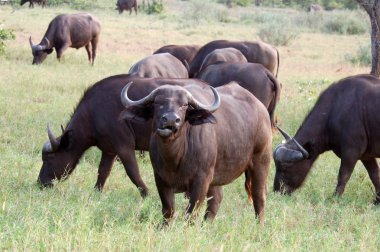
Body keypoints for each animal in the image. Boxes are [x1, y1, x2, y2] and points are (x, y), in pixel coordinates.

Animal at [37, 74, 171, 196]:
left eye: (50, 157)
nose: (40, 182)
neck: (93, 113)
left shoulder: (124, 147)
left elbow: (132, 172)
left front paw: (146, 194)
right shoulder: (109, 150)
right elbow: (103, 171)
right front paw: (97, 191)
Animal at [120, 80, 272, 220]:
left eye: (184, 105)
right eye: (158, 103)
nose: (171, 119)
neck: (175, 158)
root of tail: (262, 110)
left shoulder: (201, 180)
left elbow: (191, 213)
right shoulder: (160, 179)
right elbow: (168, 210)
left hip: (261, 161)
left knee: (259, 196)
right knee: (216, 200)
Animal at [274, 74, 380, 204]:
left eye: (285, 167)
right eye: (276, 166)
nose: (277, 190)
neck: (334, 109)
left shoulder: (351, 152)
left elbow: (343, 175)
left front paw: (335, 197)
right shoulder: (366, 156)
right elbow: (375, 175)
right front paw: (377, 200)